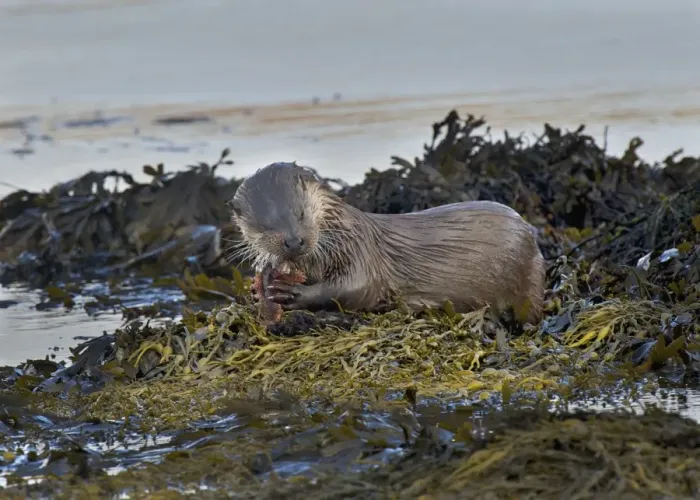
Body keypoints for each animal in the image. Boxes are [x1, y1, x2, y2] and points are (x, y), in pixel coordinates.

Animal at [230, 162, 546, 324]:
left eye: (301, 213)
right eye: (264, 226)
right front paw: (258, 291)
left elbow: (355, 287)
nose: (294, 241)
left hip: (529, 280)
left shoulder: (358, 248)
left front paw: (293, 292)